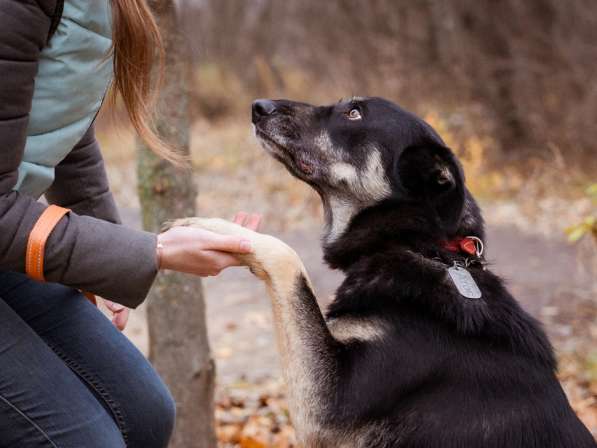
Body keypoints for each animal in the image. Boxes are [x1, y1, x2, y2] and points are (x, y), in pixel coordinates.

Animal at [171, 98, 592, 448]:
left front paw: (213, 226)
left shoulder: (328, 405)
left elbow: (287, 257)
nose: (259, 106)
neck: (415, 243)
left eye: (354, 113)